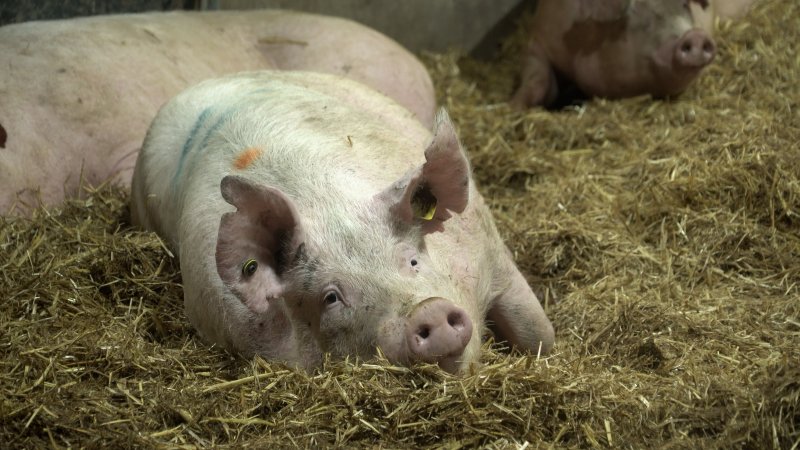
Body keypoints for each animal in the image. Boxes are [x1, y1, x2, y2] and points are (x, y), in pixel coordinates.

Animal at [131, 70, 556, 372]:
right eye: (331, 297)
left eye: (413, 259)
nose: (428, 312)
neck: (329, 207)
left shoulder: (489, 249)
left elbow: (538, 332)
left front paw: (547, 357)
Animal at [512, 0, 756, 108]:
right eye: (632, 9)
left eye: (684, 5)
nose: (694, 35)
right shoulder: (538, 37)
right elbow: (537, 81)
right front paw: (515, 106)